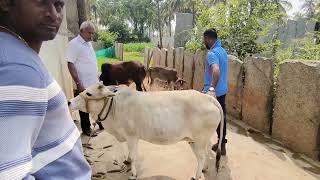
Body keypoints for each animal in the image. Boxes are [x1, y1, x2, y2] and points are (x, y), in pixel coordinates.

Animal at [69, 82, 224, 179]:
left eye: (89, 93)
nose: (69, 102)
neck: (114, 106)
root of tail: (207, 98)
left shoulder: (132, 136)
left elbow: (134, 156)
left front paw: (133, 174)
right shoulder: (129, 137)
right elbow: (130, 153)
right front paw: (127, 160)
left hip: (199, 140)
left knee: (201, 156)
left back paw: (196, 175)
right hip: (200, 140)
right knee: (206, 152)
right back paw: (204, 169)